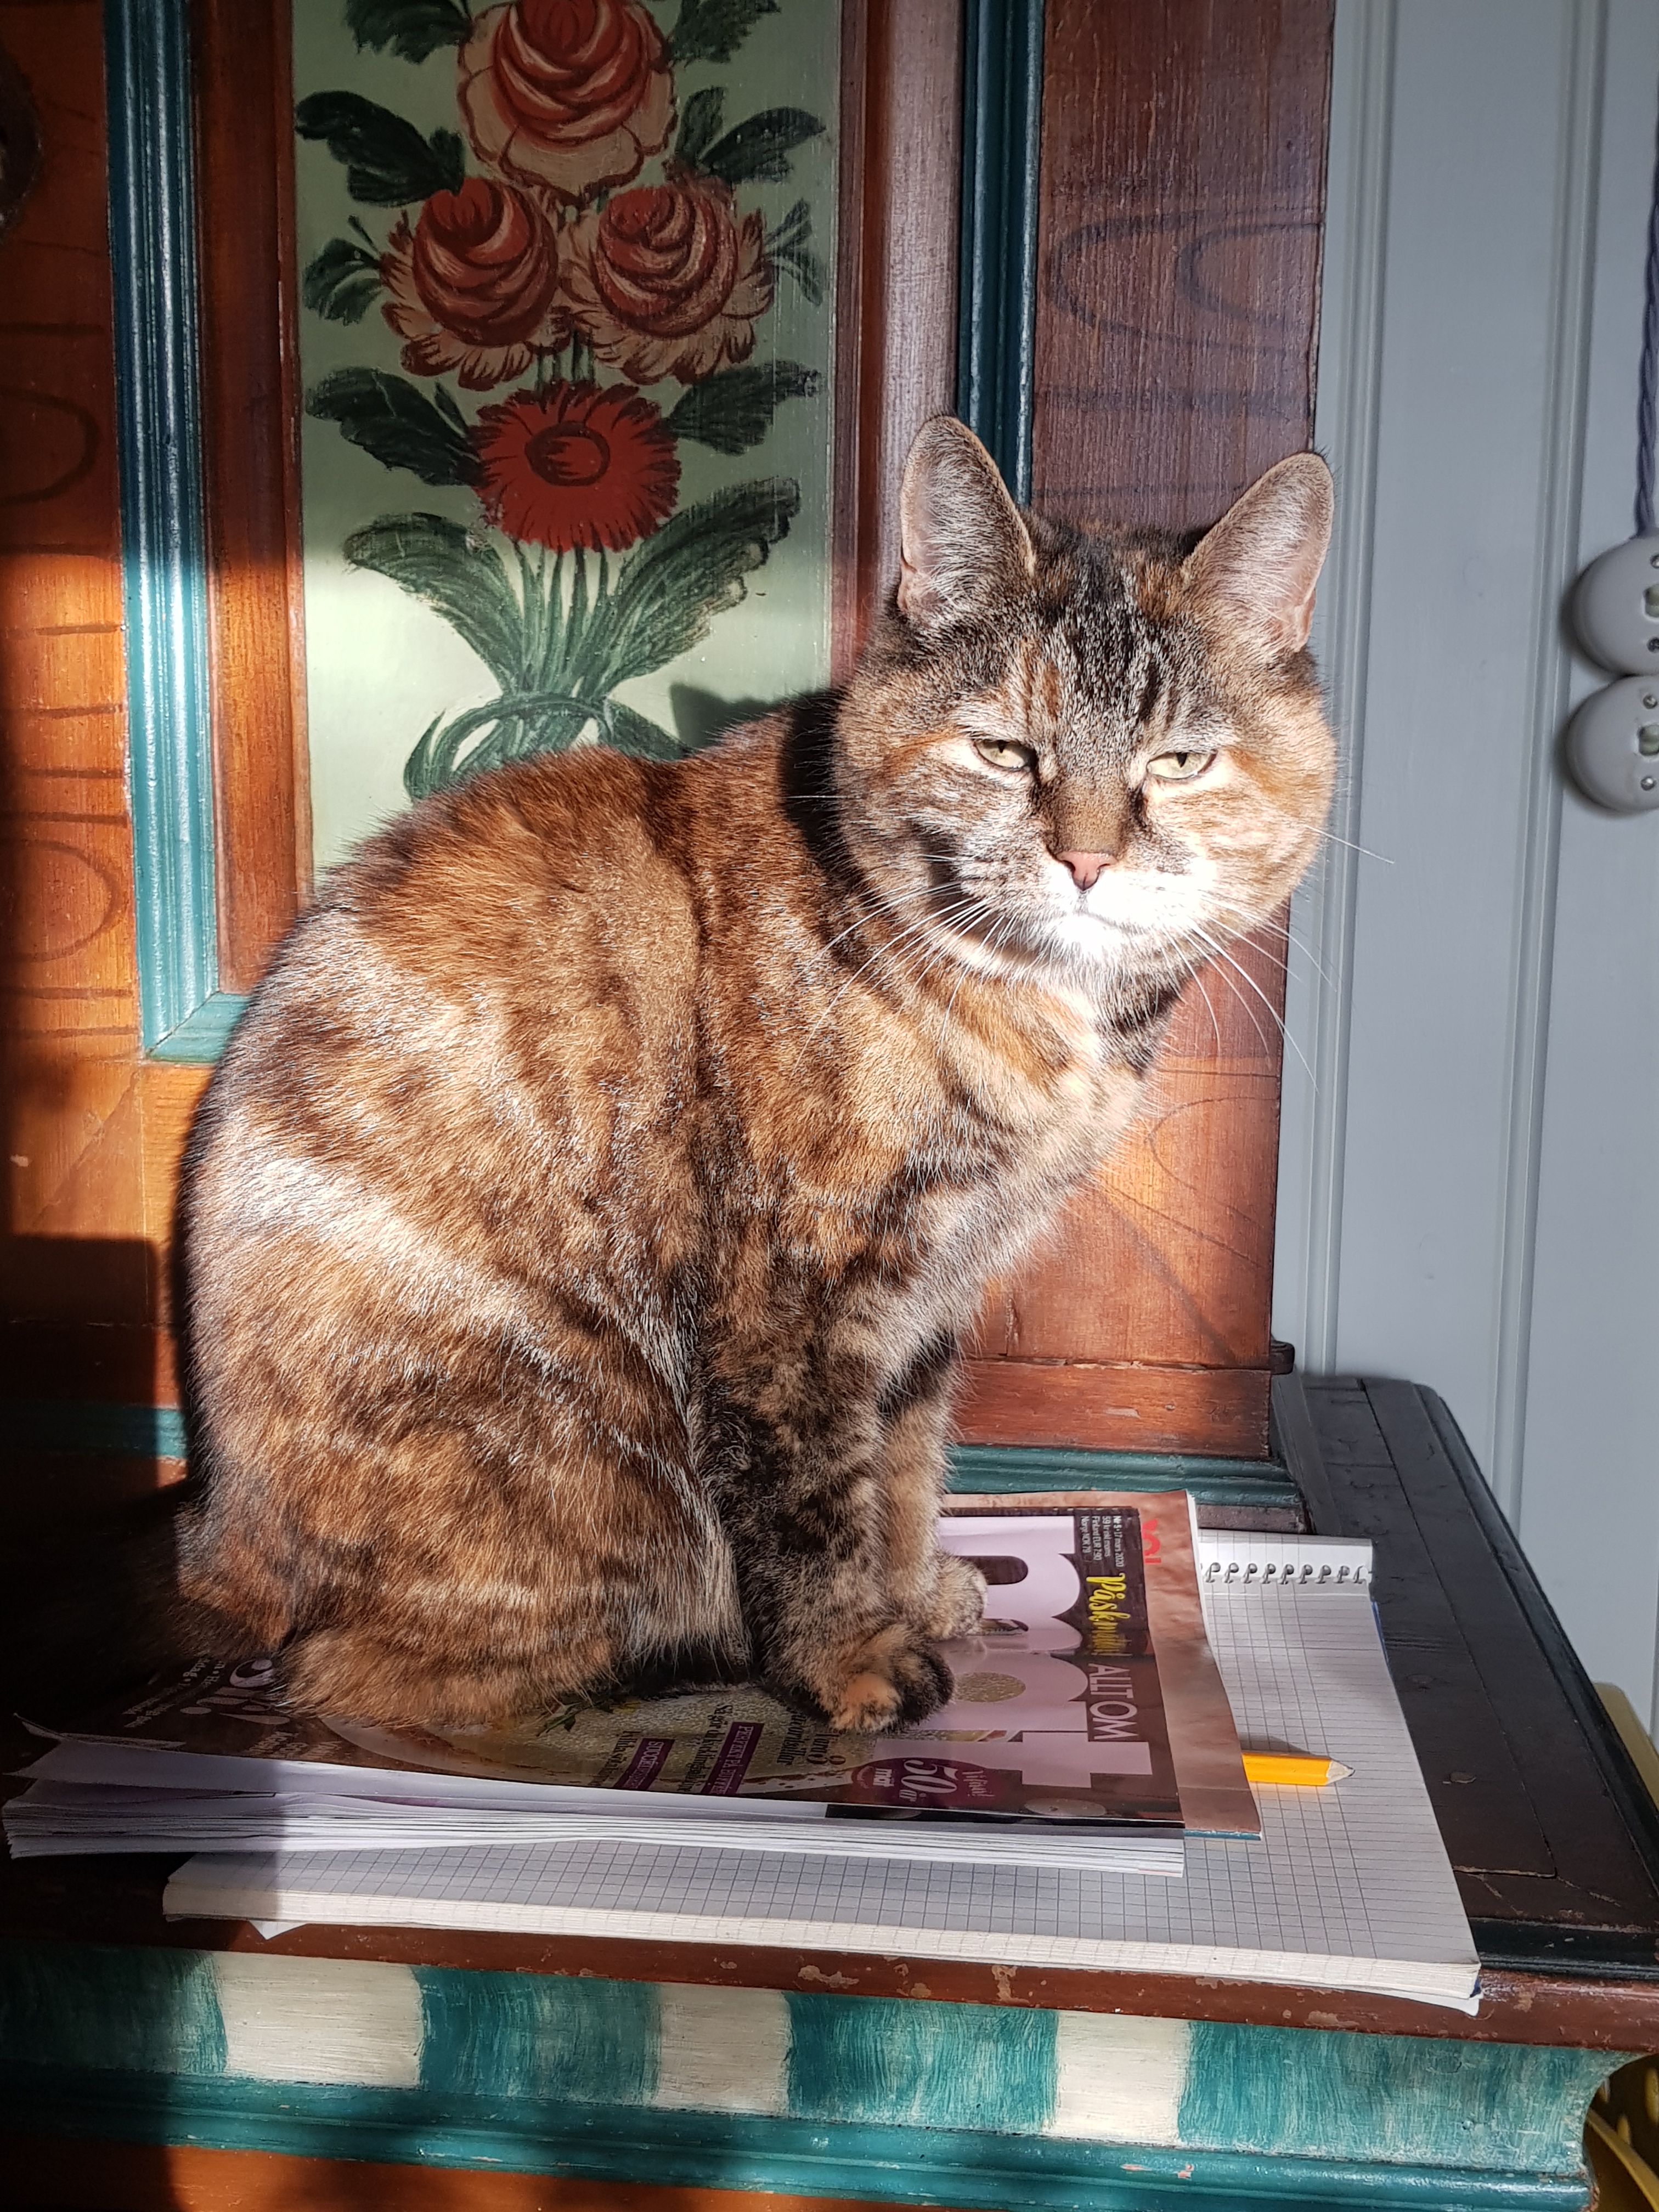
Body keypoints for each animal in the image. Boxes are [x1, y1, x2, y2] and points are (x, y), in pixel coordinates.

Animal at [174, 417, 1334, 1733]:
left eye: (1181, 761)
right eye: (1002, 751)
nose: (1084, 859)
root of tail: (214, 1538)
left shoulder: (931, 1294)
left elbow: (904, 1463)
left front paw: (910, 1589)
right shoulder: (794, 1291)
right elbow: (812, 1499)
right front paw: (852, 1656)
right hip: (589, 1463)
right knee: (353, 1674)